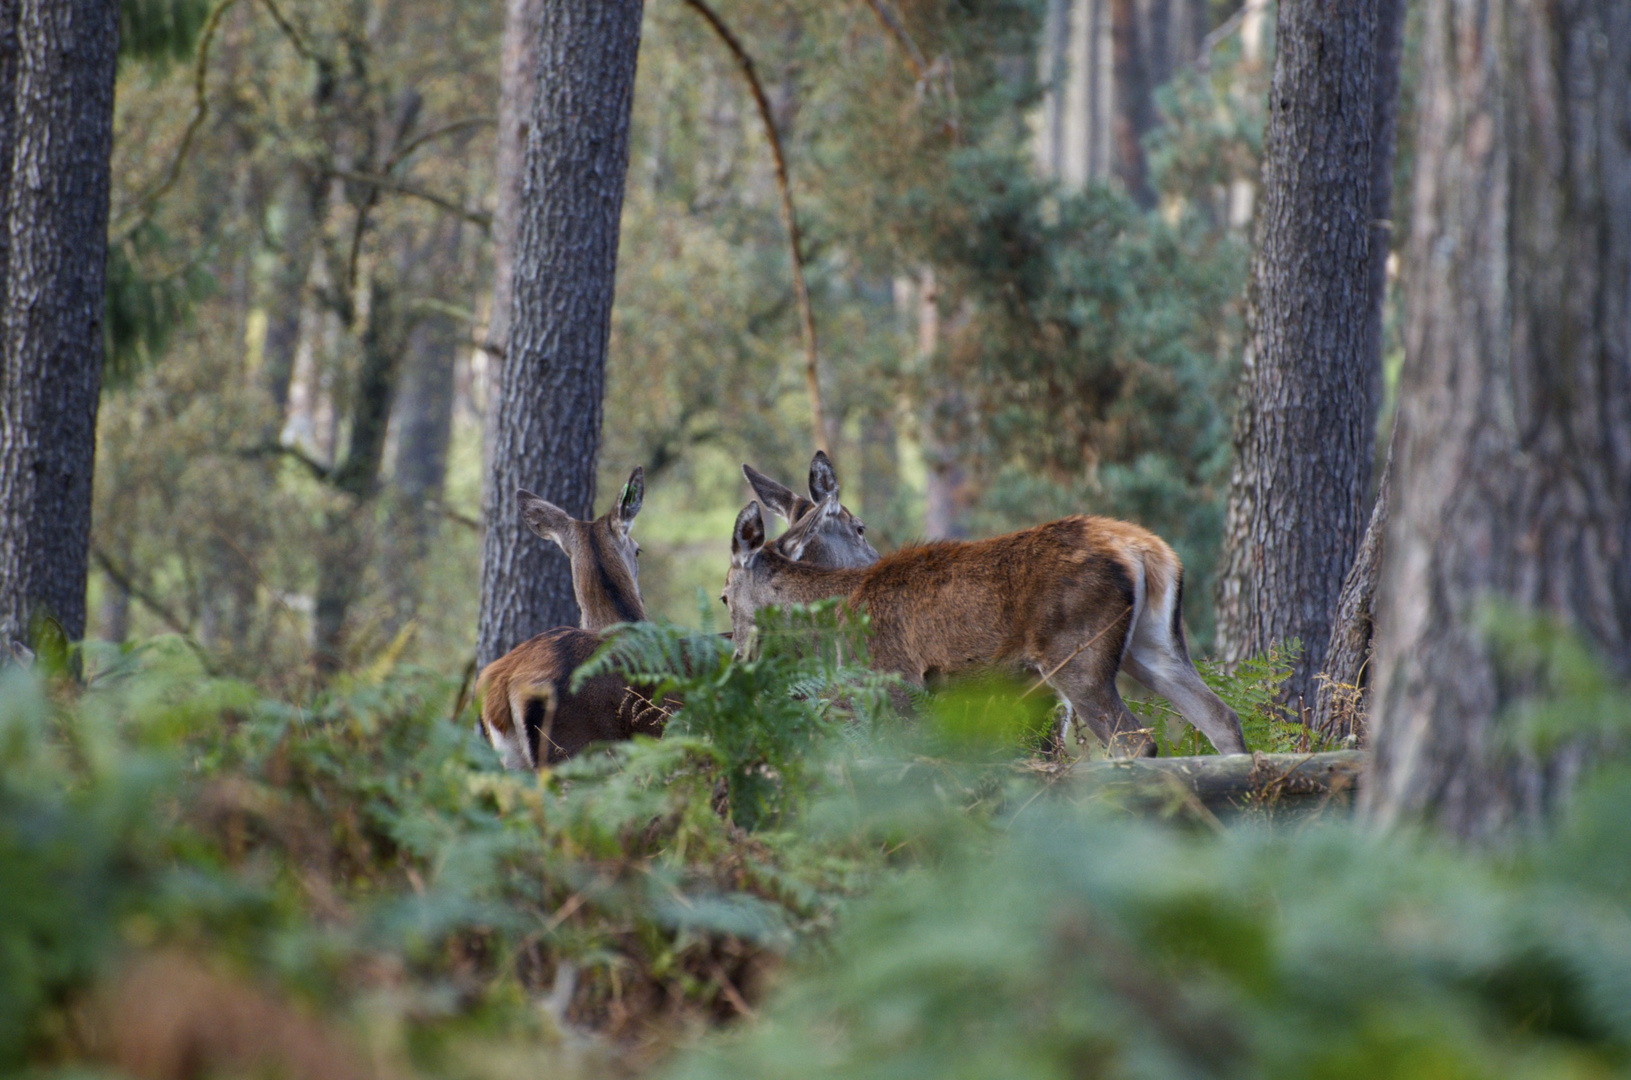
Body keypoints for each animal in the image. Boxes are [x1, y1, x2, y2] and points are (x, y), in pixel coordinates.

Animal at [717, 495, 1246, 756]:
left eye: (723, 596)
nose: (738, 655)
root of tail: (1148, 551)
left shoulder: (898, 681)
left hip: (1077, 654)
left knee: (1135, 741)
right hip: (1154, 644)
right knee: (1222, 719)